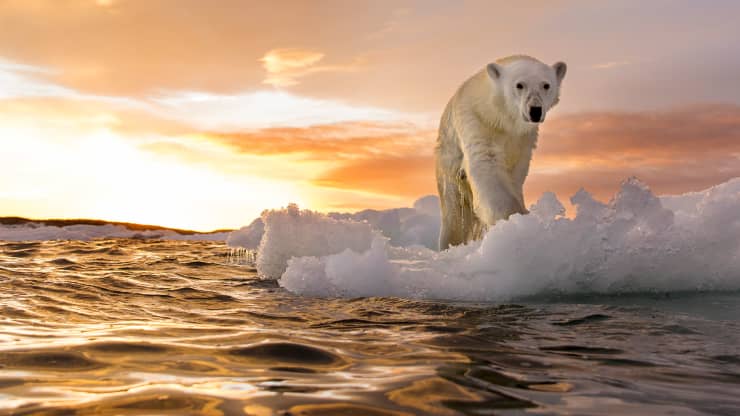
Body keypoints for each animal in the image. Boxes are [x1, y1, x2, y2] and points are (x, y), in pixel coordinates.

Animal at [435, 55, 566, 250]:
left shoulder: (523, 139)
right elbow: (486, 166)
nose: (535, 110)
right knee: (455, 214)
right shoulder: (478, 123)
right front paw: (516, 219)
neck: (501, 118)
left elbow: (515, 173)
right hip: (448, 165)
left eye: (546, 85)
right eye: (519, 85)